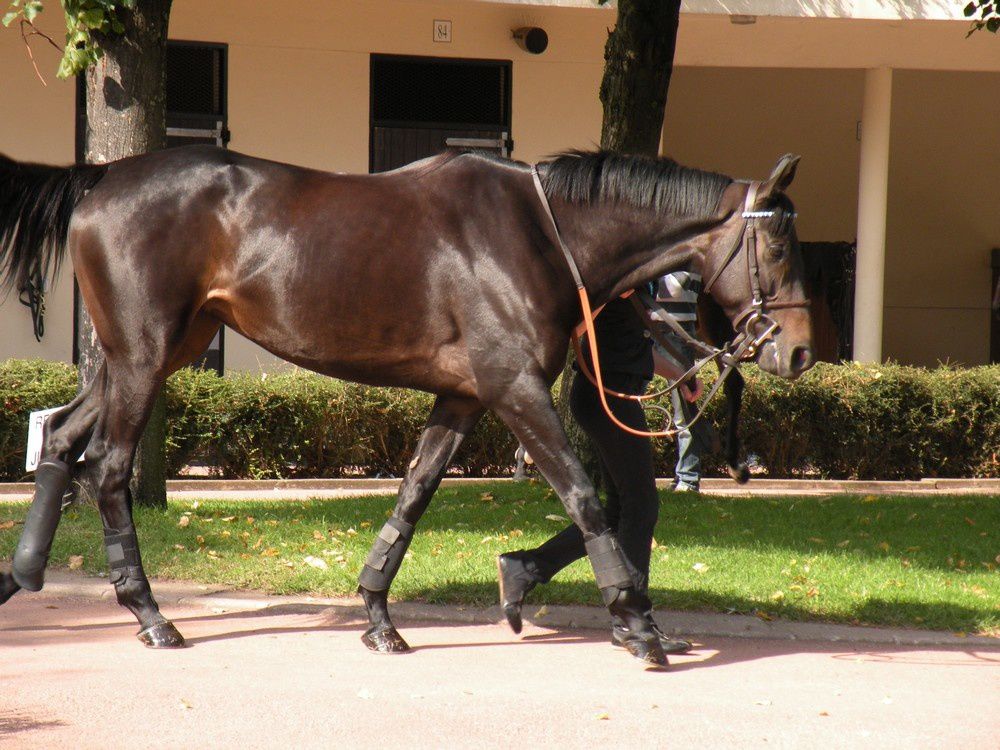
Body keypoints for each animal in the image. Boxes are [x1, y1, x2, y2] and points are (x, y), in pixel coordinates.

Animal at [0, 145, 812, 664]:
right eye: (777, 248)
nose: (800, 351)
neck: (538, 234)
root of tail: (103, 179)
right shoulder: (514, 389)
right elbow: (583, 497)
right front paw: (636, 625)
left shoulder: (462, 396)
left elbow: (413, 495)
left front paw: (378, 615)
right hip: (143, 353)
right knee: (107, 468)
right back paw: (151, 615)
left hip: (152, 352)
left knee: (63, 439)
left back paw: (22, 575)